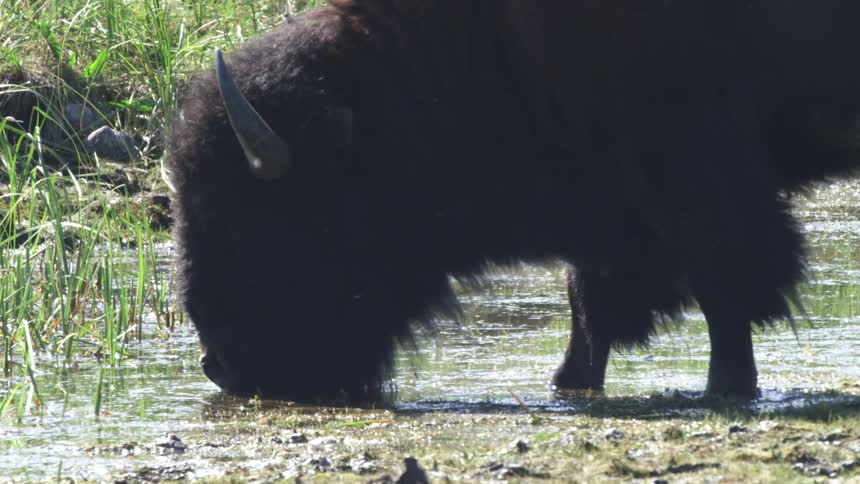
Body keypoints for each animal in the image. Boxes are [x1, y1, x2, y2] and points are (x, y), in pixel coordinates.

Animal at [170, 1, 860, 402]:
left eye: (242, 217)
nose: (219, 366)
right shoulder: (604, 196)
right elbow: (590, 300)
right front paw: (568, 384)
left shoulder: (697, 169)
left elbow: (724, 286)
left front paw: (727, 388)